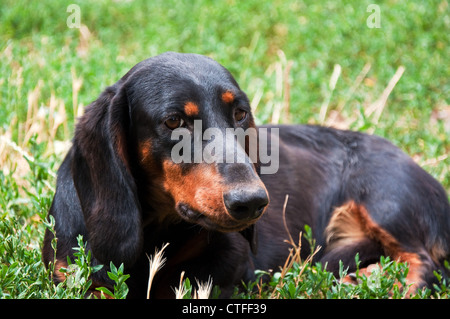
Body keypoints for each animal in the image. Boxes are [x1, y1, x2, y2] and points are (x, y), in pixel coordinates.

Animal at [44, 51, 450, 298]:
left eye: (240, 114)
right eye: (174, 121)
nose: (253, 203)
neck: (158, 229)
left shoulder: (229, 270)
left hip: (387, 201)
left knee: (425, 264)